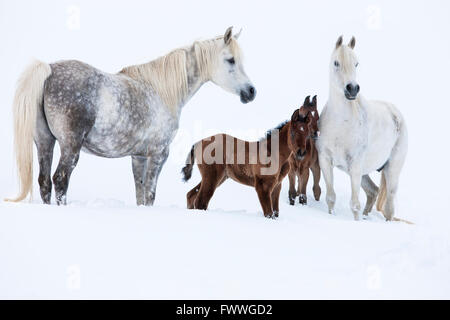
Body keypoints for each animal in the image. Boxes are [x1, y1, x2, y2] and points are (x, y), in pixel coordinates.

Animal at [181, 106, 312, 219]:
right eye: (293, 133)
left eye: (307, 134)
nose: (301, 152)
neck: (275, 154)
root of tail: (198, 143)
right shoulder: (262, 186)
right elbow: (269, 214)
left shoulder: (277, 185)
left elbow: (275, 213)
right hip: (212, 176)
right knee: (201, 202)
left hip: (219, 177)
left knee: (191, 195)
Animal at [316, 35, 408, 220]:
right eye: (336, 62)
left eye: (356, 63)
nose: (352, 89)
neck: (340, 124)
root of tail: (396, 113)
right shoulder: (325, 160)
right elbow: (331, 197)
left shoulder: (355, 165)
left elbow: (354, 205)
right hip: (363, 173)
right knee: (373, 192)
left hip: (391, 171)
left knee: (389, 207)